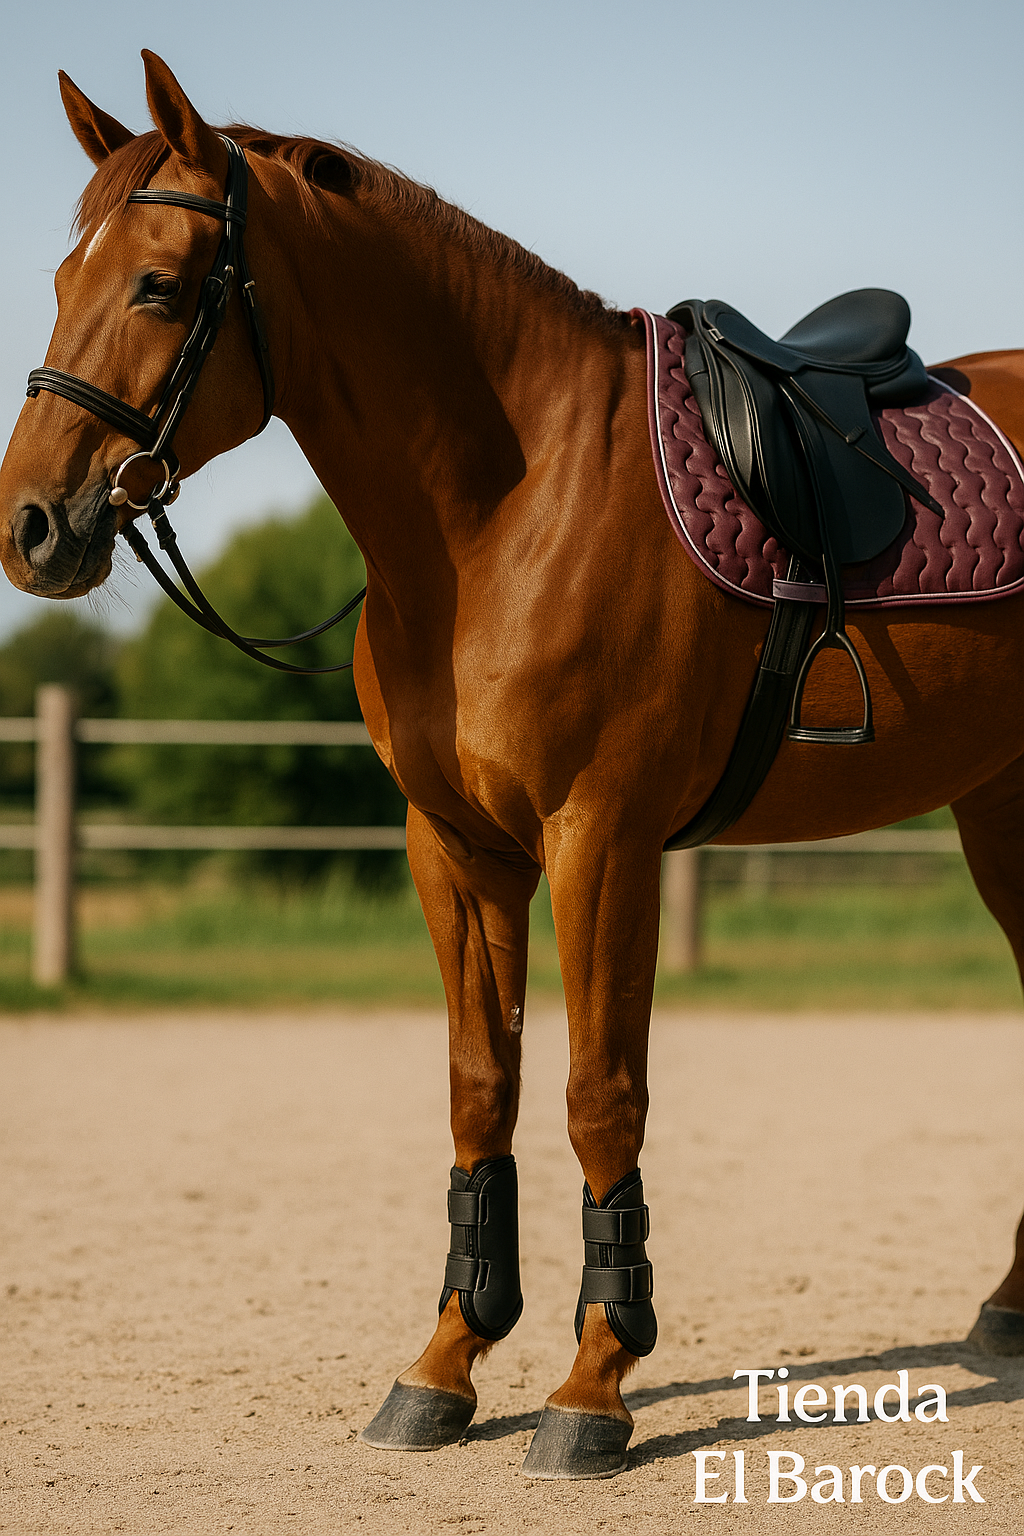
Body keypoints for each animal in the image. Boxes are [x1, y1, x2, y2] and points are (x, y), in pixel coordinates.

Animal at [2, 51, 1024, 1480]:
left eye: (156, 283)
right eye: (60, 278)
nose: (30, 526)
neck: (509, 507)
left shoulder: (601, 839)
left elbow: (600, 1097)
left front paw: (595, 1384)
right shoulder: (458, 845)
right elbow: (481, 1090)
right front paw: (445, 1364)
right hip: (1000, 810)